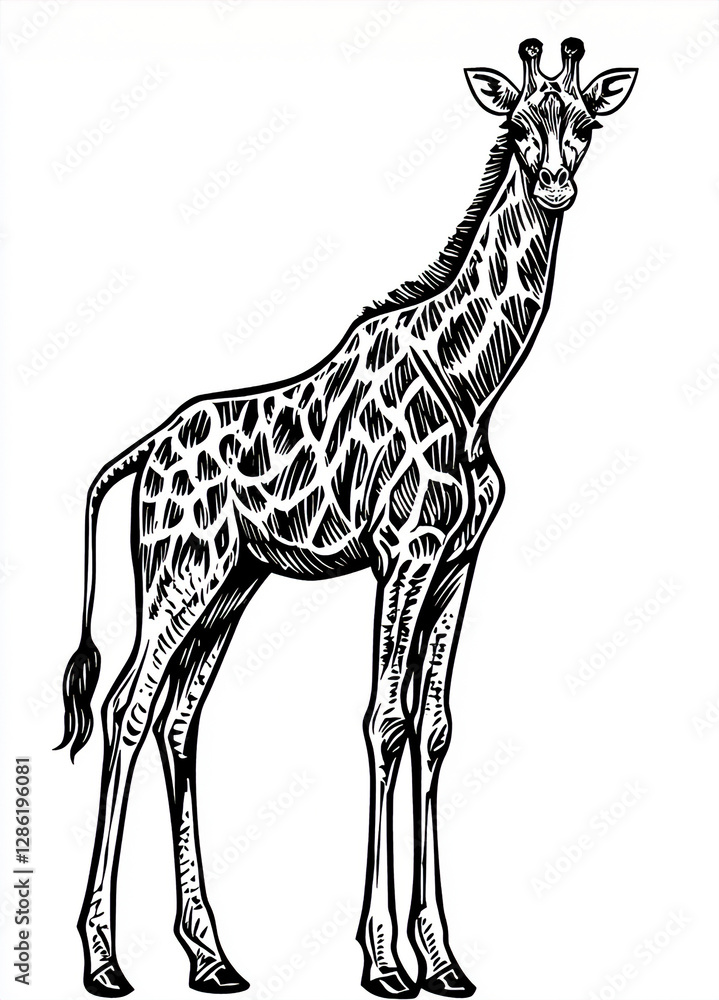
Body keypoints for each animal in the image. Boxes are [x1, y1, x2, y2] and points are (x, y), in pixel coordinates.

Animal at [58, 38, 636, 1000]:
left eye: (585, 124)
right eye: (519, 127)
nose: (557, 187)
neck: (471, 383)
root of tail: (137, 458)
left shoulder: (457, 561)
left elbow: (434, 729)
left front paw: (443, 960)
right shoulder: (402, 552)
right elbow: (384, 720)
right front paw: (383, 961)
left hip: (232, 585)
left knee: (181, 722)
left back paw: (211, 957)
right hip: (179, 577)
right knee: (127, 710)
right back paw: (103, 961)